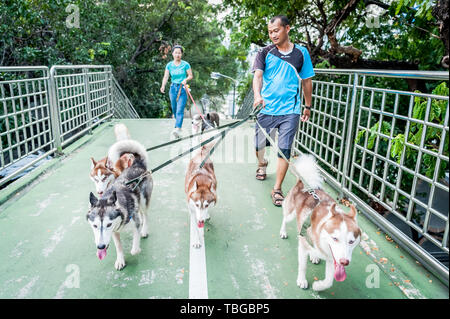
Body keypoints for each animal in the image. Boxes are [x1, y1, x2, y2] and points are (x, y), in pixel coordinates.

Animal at [280, 155, 360, 292]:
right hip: (291, 213)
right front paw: (302, 280)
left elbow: (329, 281)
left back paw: (314, 256)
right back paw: (283, 232)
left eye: (351, 241)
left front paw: (318, 286)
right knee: (285, 218)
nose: (344, 262)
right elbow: (302, 267)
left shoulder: (332, 258)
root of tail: (304, 183)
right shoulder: (303, 246)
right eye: (335, 238)